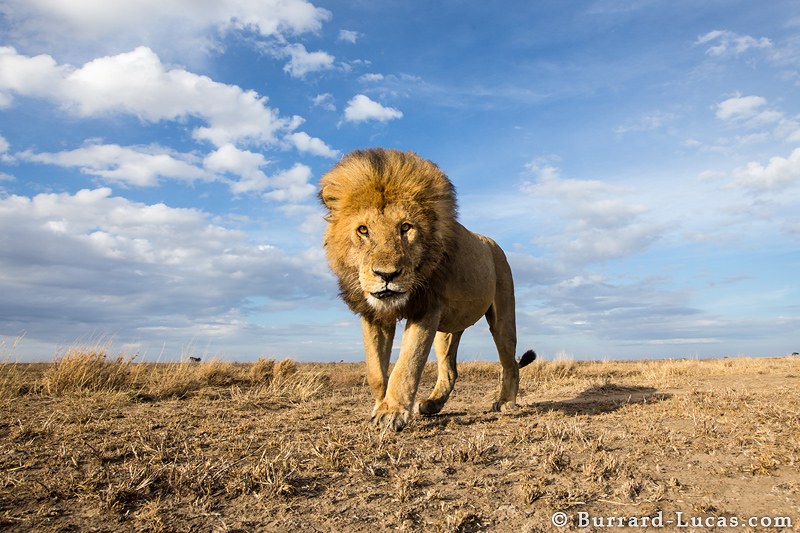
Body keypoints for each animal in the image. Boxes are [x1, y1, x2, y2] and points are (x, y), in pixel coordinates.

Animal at [316, 148, 536, 430]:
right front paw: (380, 406)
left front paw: (392, 412)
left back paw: (506, 402)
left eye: (406, 227)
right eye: (363, 230)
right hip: (447, 330)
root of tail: (492, 243)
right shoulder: (375, 315)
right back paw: (432, 404)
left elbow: (407, 363)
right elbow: (375, 371)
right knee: (450, 370)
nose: (387, 275)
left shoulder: (426, 308)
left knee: (510, 362)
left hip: (503, 315)